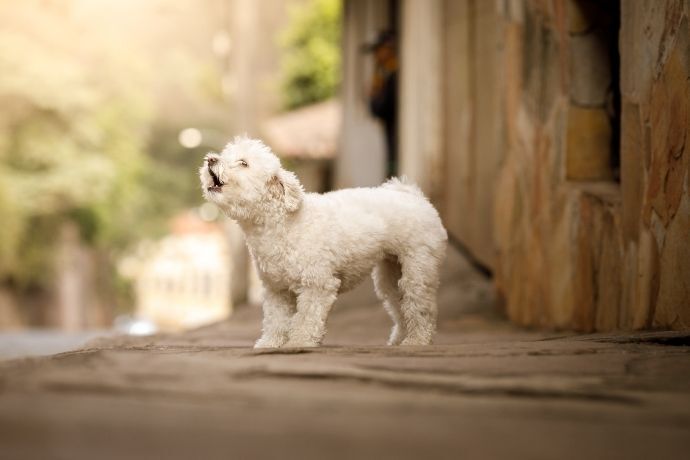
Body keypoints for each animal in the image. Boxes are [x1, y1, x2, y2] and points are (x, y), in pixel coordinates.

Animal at [199, 137, 446, 348]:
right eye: (224, 155)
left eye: (243, 163)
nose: (210, 159)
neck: (281, 223)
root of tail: (414, 197)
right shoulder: (277, 290)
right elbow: (275, 320)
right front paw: (270, 343)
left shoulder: (317, 284)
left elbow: (307, 318)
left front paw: (299, 342)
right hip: (390, 275)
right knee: (398, 303)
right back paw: (399, 338)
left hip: (418, 269)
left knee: (420, 306)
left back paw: (417, 340)